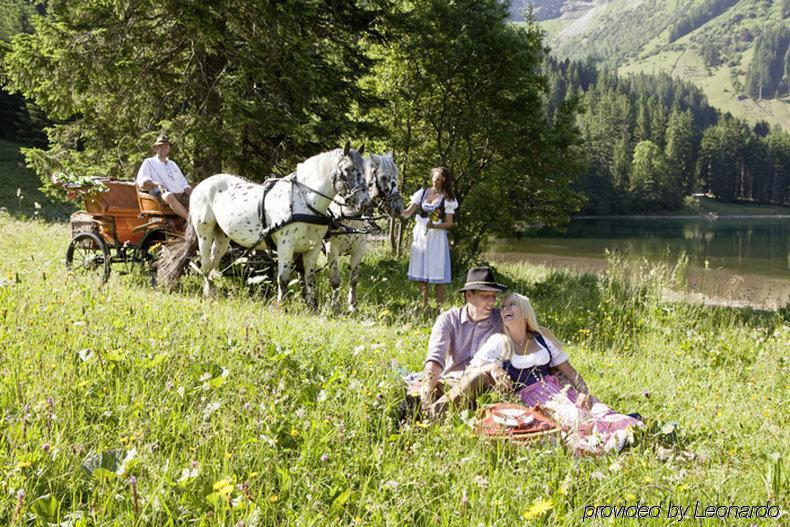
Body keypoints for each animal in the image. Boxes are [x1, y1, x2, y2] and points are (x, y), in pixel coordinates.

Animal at [161, 143, 374, 310]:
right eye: (348, 170)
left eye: (367, 173)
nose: (365, 204)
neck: (304, 201)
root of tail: (201, 185)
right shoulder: (286, 245)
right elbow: (283, 278)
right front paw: (280, 306)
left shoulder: (312, 248)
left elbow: (309, 278)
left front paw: (312, 306)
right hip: (203, 234)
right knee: (205, 264)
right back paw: (208, 295)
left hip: (221, 237)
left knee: (213, 264)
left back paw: (211, 291)